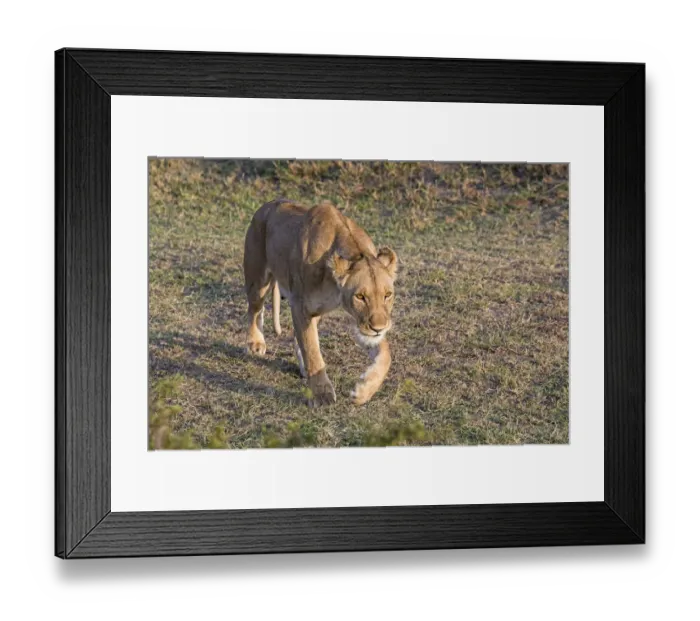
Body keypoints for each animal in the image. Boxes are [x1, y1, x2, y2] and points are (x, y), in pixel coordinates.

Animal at [243, 199, 398, 406]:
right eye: (360, 297)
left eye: (387, 295)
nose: (378, 328)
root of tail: (268, 204)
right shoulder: (300, 305)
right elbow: (312, 351)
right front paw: (322, 394)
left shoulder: (356, 319)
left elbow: (385, 355)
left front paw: (363, 391)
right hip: (258, 279)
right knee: (255, 309)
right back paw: (256, 342)